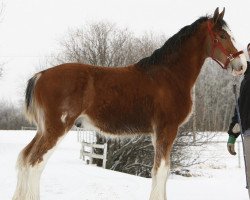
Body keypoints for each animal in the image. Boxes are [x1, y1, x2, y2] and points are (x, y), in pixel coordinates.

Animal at [12, 7, 247, 200]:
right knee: (35, 163)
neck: (169, 76)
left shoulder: (157, 133)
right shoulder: (167, 129)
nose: (242, 65)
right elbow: (161, 170)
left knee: (24, 158)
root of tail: (40, 75)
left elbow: (163, 170)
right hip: (56, 129)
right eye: (223, 35)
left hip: (43, 130)